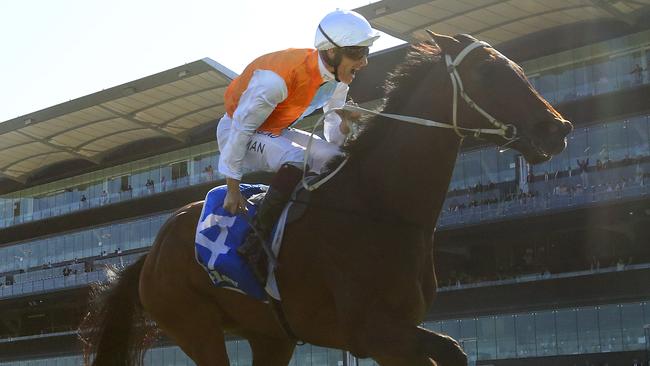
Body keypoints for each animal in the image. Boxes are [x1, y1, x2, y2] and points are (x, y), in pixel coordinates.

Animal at [78, 33, 568, 364]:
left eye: (516, 67)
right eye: (488, 72)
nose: (557, 128)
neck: (380, 208)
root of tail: (151, 252)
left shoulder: (402, 328)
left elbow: (454, 351)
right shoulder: (375, 334)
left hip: (270, 336)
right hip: (194, 325)